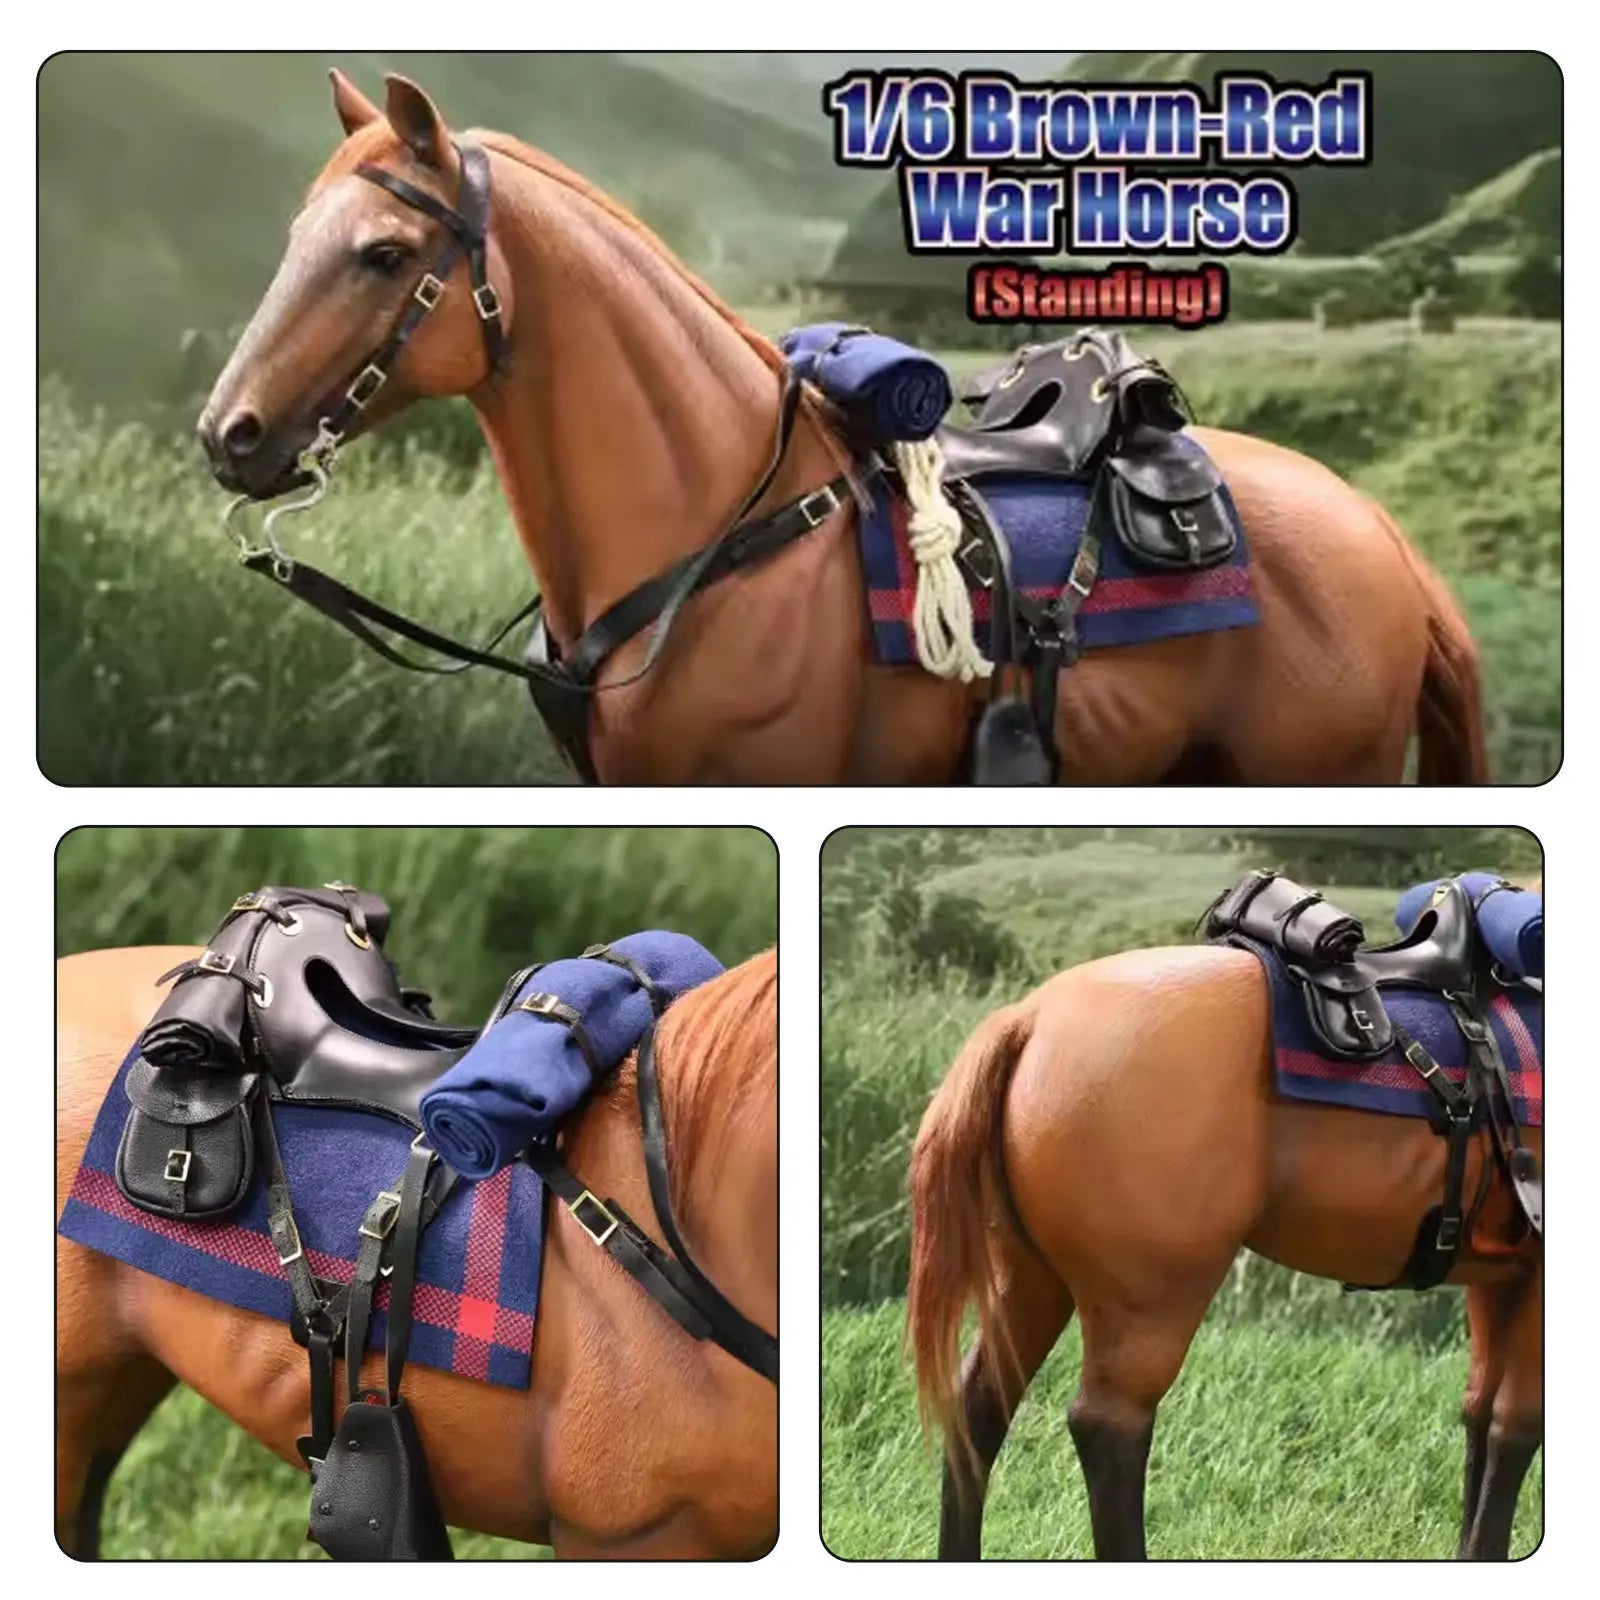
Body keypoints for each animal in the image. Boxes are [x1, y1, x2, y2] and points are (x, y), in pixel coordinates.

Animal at [907, 943, 1540, 1559]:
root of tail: (1031, 1017)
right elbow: (1515, 1426)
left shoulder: (1497, 1282)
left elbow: (1479, 1413)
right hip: (1148, 1304)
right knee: (1108, 1429)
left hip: (1027, 1282)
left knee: (979, 1410)